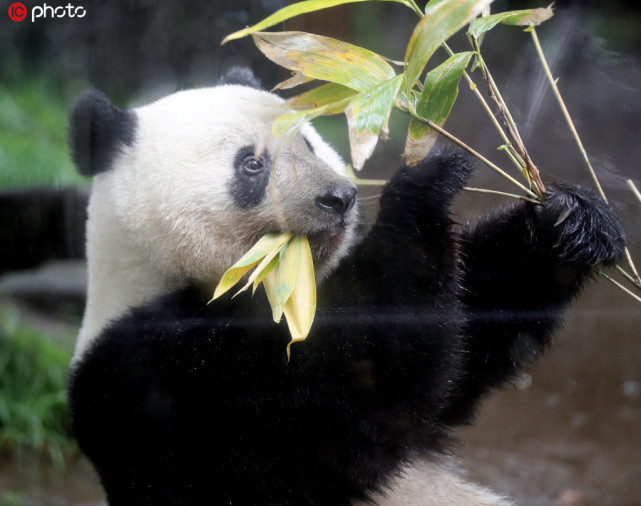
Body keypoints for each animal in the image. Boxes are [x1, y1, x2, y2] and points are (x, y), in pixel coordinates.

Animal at [67, 68, 624, 506]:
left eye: (310, 143)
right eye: (252, 163)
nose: (339, 198)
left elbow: (472, 342)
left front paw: (567, 222)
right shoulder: (165, 380)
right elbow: (354, 403)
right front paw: (425, 177)